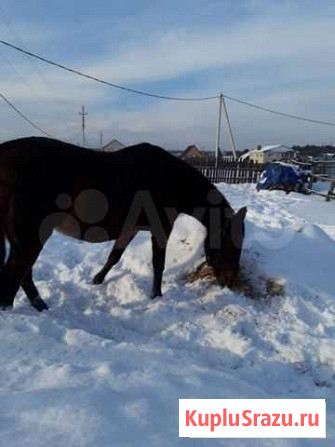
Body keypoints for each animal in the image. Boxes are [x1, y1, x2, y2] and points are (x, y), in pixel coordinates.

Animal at [0, 137, 247, 312]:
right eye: (229, 244)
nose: (230, 282)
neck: (171, 180)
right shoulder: (161, 228)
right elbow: (158, 263)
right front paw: (156, 295)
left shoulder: (130, 229)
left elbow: (114, 256)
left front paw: (97, 280)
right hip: (31, 234)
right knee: (16, 271)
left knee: (24, 273)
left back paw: (40, 305)